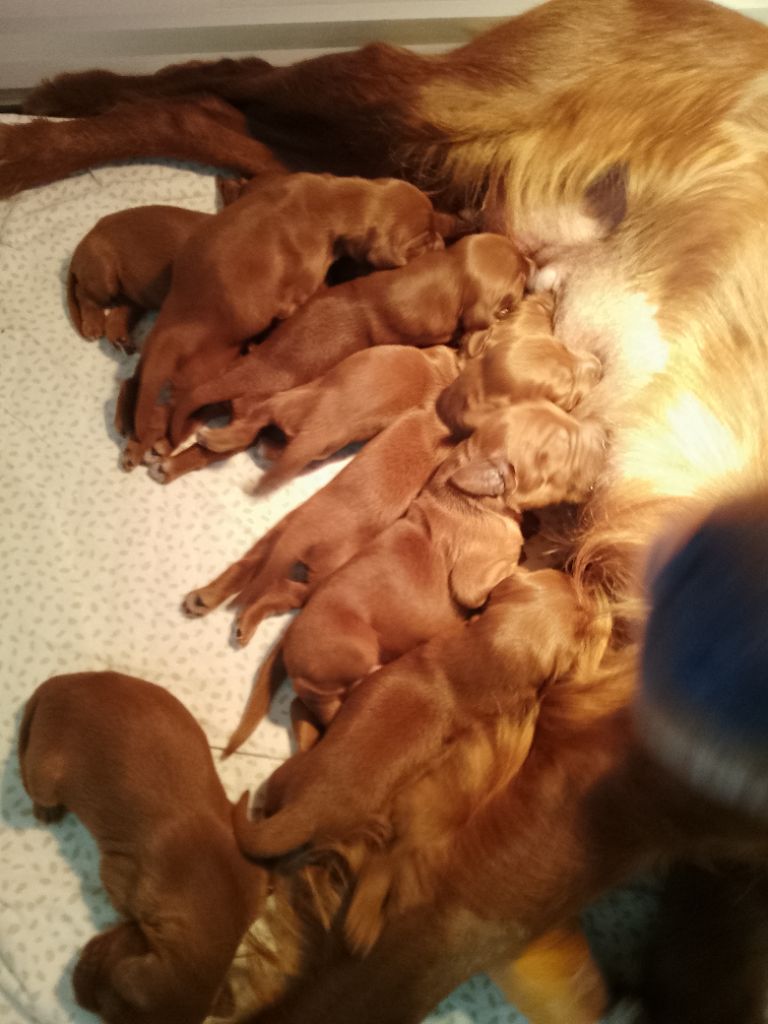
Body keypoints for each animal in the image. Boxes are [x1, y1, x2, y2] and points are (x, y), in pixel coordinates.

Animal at [18, 671, 266, 1024]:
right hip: (45, 775)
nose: (73, 992)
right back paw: (46, 809)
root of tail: (55, 684)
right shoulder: (119, 880)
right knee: (28, 777)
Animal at [118, 171, 463, 468]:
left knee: (137, 383)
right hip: (209, 364)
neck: (332, 199)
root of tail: (174, 329)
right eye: (423, 240)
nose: (443, 245)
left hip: (159, 352)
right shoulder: (296, 296)